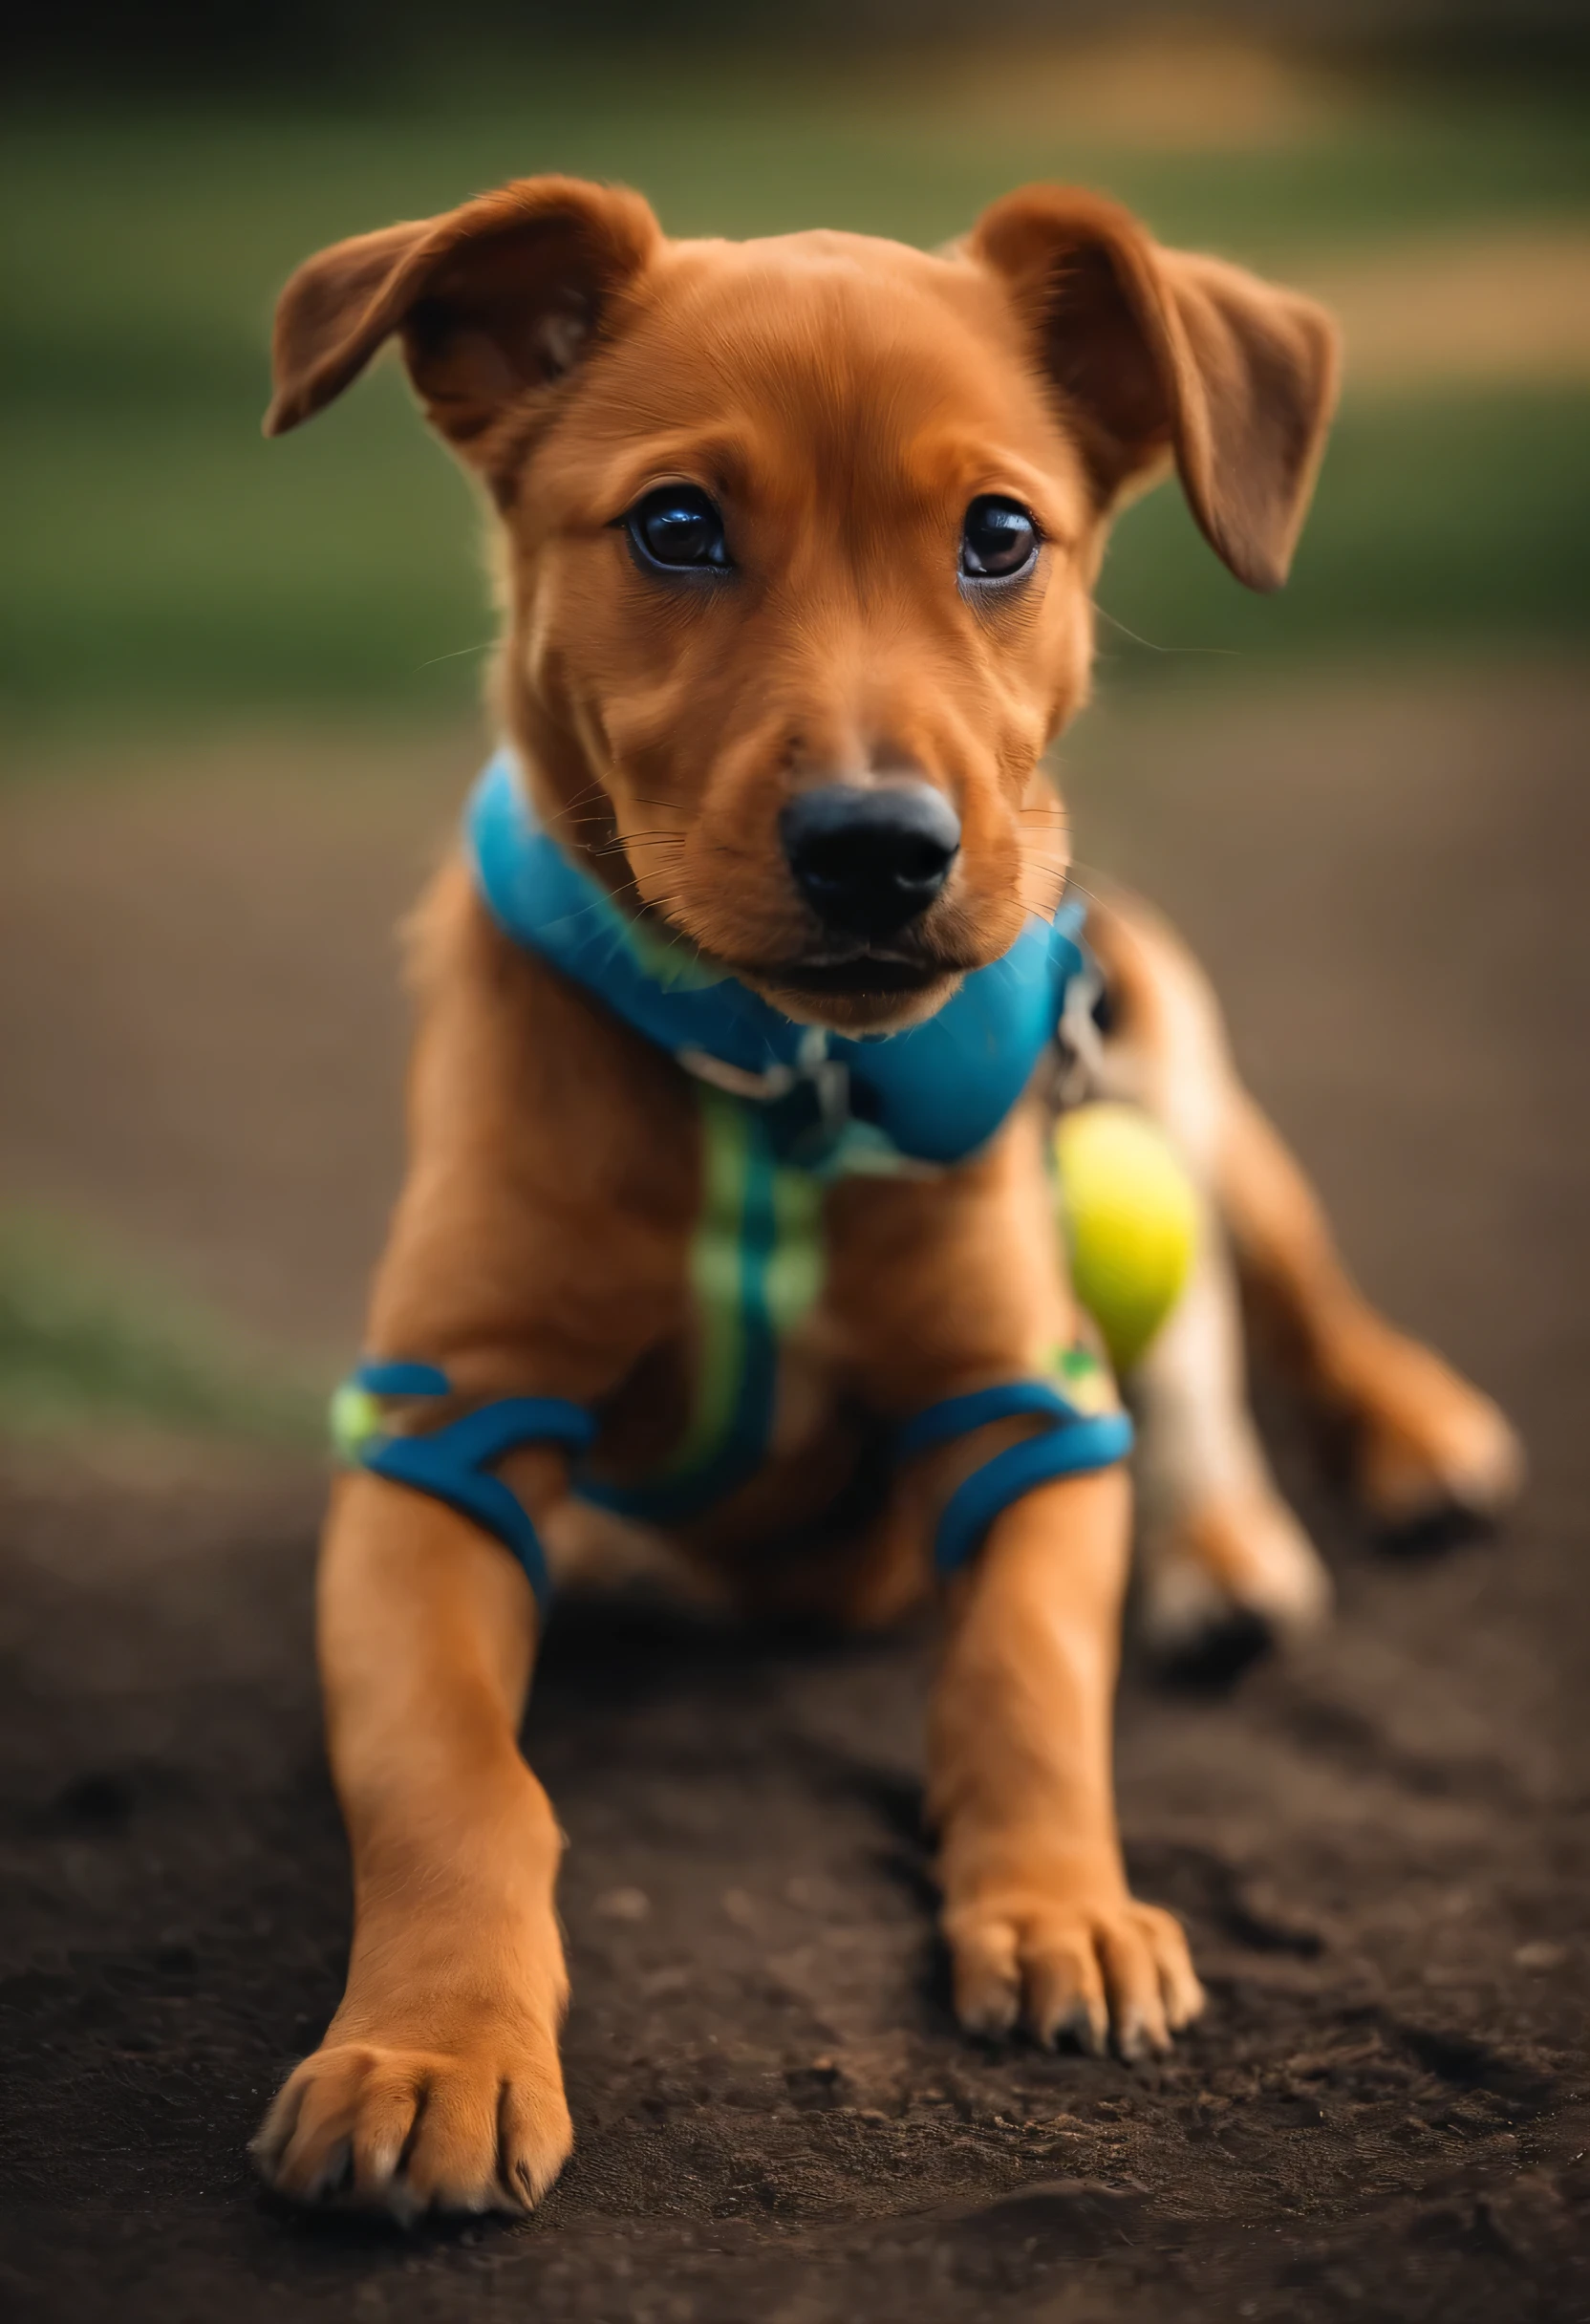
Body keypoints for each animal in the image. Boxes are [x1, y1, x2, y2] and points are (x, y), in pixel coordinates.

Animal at [250, 176, 1524, 2212]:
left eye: (998, 536)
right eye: (674, 527)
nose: (878, 850)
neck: (785, 1073)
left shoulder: (1023, 1402)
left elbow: (1021, 1668)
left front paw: (1062, 1911)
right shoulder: (438, 1442)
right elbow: (450, 1775)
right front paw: (428, 2051)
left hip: (1159, 1037)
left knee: (1242, 1310)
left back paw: (1301, 1504)